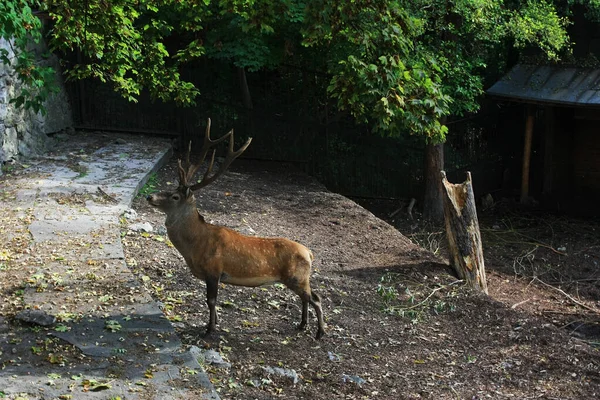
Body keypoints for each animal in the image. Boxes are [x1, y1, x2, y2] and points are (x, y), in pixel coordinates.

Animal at [147, 120, 326, 340]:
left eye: (174, 196)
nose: (150, 197)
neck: (195, 246)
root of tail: (309, 253)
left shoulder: (214, 270)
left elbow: (211, 301)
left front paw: (209, 329)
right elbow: (212, 302)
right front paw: (214, 323)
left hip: (297, 277)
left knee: (316, 298)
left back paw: (320, 332)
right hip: (298, 279)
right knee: (307, 298)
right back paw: (302, 325)